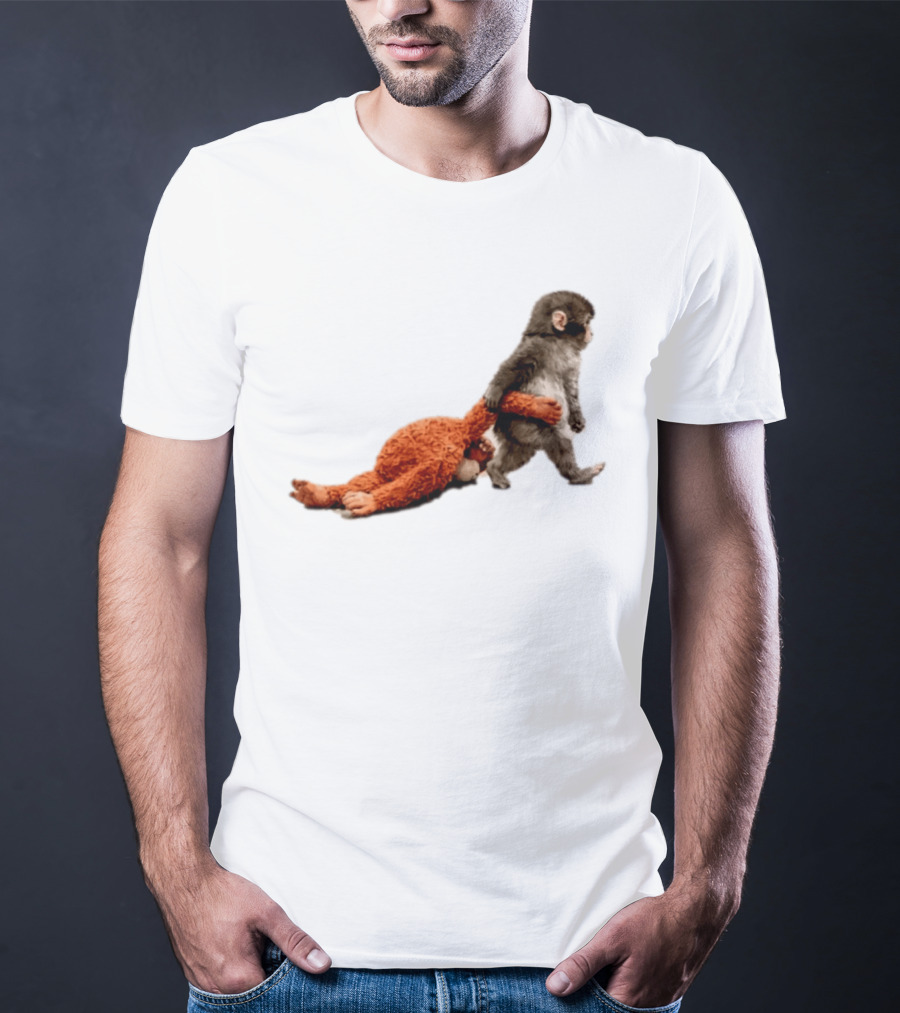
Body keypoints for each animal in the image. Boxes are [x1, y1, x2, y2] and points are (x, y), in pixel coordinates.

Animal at [290, 391, 563, 518]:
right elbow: (487, 407)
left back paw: (321, 495)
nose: (480, 456)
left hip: (390, 470)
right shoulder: (456, 440)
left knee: (378, 480)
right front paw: (541, 407)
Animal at [483, 290, 605, 489]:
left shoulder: (572, 360)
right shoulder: (537, 347)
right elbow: (514, 367)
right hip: (522, 423)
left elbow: (570, 388)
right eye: (586, 322)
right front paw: (495, 390)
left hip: (518, 435)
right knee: (557, 438)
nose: (591, 332)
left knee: (519, 452)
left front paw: (577, 417)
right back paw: (577, 475)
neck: (558, 340)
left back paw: (494, 469)